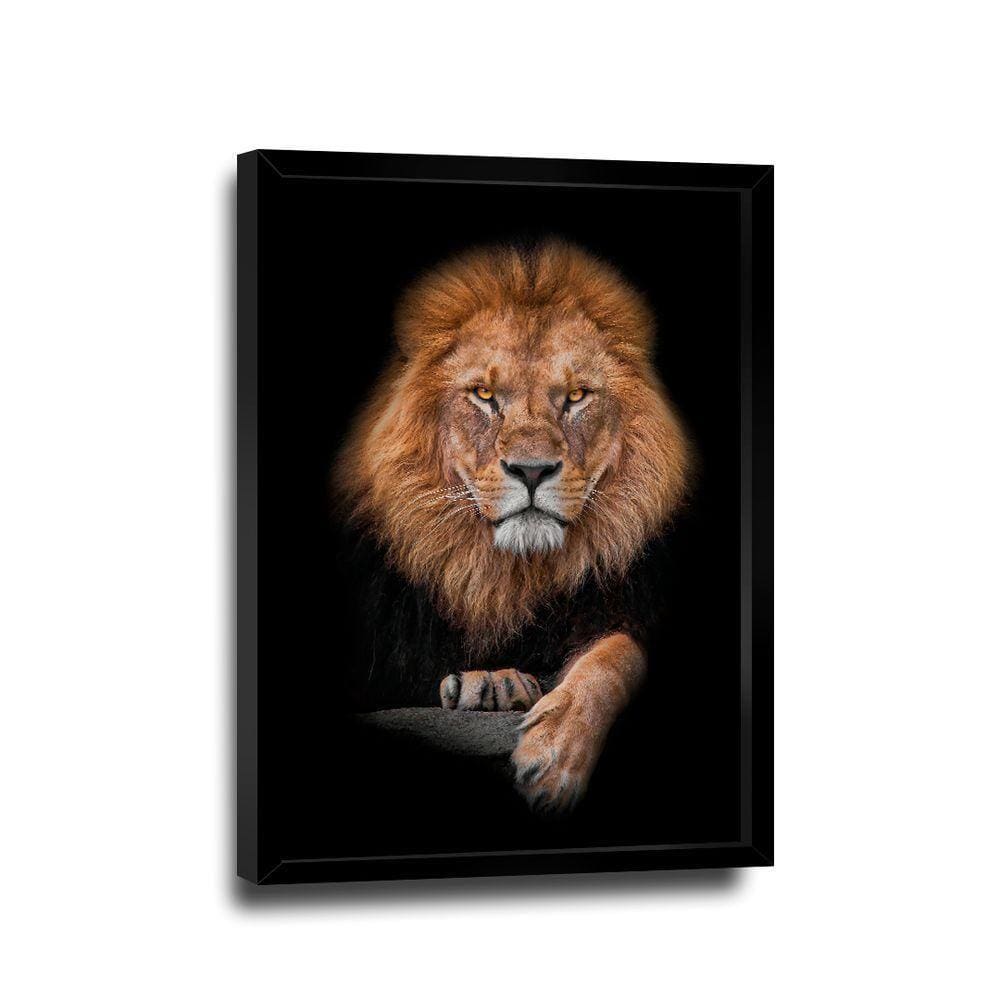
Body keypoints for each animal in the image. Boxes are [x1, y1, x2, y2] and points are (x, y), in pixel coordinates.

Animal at [334, 239, 692, 814]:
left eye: (576, 396)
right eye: (483, 395)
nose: (531, 470)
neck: (508, 574)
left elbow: (617, 655)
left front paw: (556, 754)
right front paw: (491, 682)